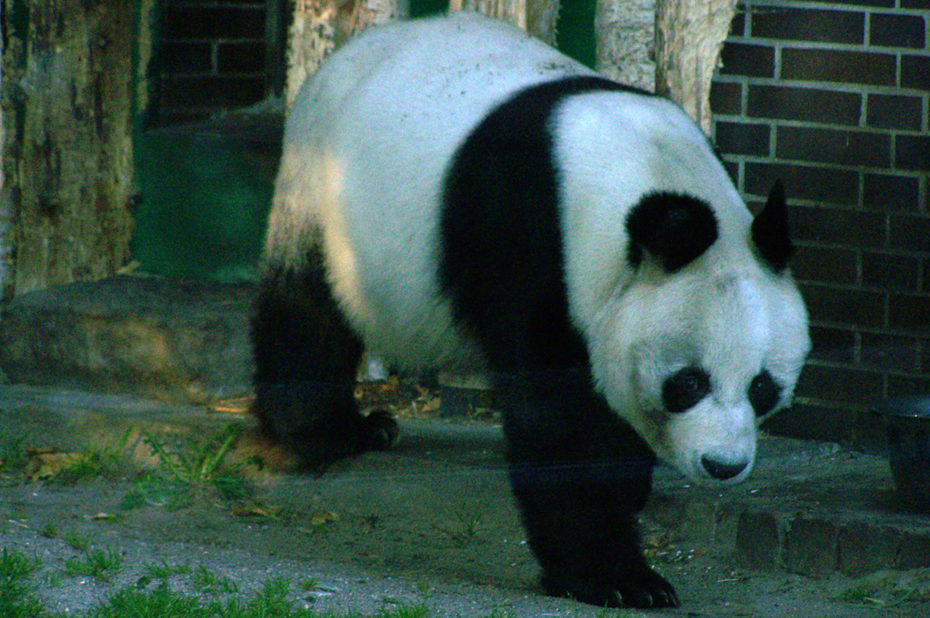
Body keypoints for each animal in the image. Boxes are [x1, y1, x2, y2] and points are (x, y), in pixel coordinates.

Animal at [250, 9, 808, 608]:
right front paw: (619, 578)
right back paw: (329, 432)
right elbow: (557, 416)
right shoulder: (531, 242)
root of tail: (348, 54)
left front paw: (630, 492)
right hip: (322, 195)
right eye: (687, 383)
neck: (637, 166)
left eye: (763, 387)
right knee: (307, 311)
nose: (723, 465)